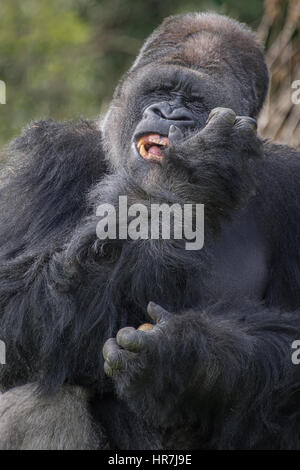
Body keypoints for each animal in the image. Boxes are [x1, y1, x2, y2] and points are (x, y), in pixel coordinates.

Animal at [0, 12, 300, 450]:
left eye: (195, 101)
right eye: (160, 91)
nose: (169, 114)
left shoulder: (291, 187)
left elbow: (291, 337)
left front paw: (185, 358)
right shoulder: (49, 160)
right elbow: (12, 312)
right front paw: (188, 179)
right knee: (40, 395)